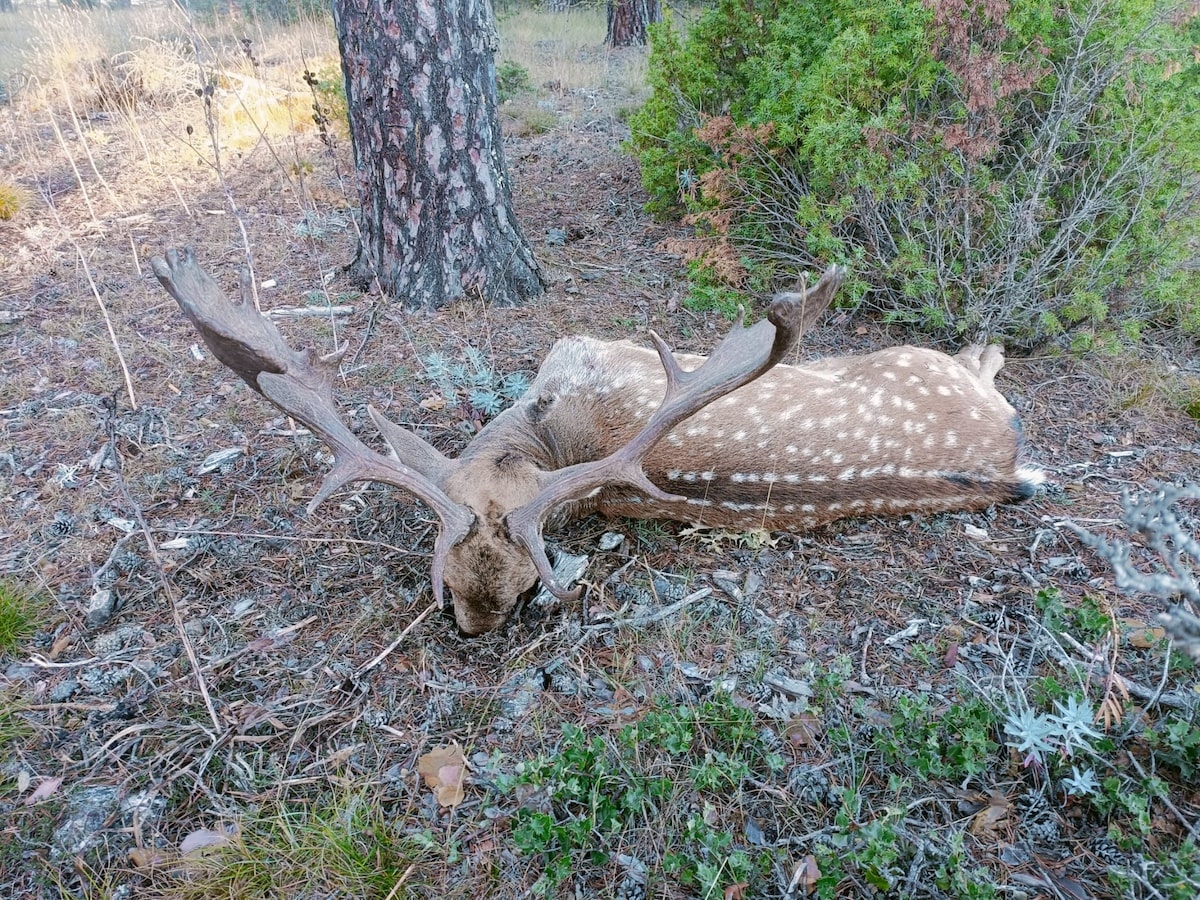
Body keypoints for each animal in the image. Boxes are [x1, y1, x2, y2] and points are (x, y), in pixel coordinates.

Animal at [151, 248, 1041, 635]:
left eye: (520, 592)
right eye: (449, 590)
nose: (472, 628)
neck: (545, 433)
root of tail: (1004, 465)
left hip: (924, 361)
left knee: (987, 355)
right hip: (926, 364)